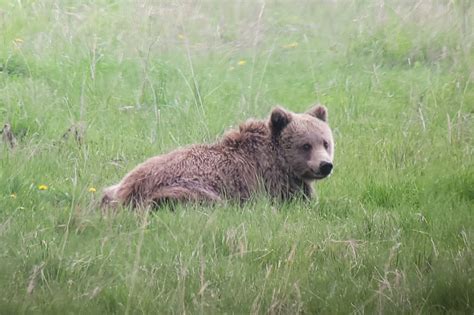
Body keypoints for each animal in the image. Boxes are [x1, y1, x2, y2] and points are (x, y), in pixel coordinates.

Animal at [102, 105, 336, 210]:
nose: (325, 165)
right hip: (189, 190)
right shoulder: (272, 181)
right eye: (306, 145)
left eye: (325, 142)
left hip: (117, 185)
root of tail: (128, 190)